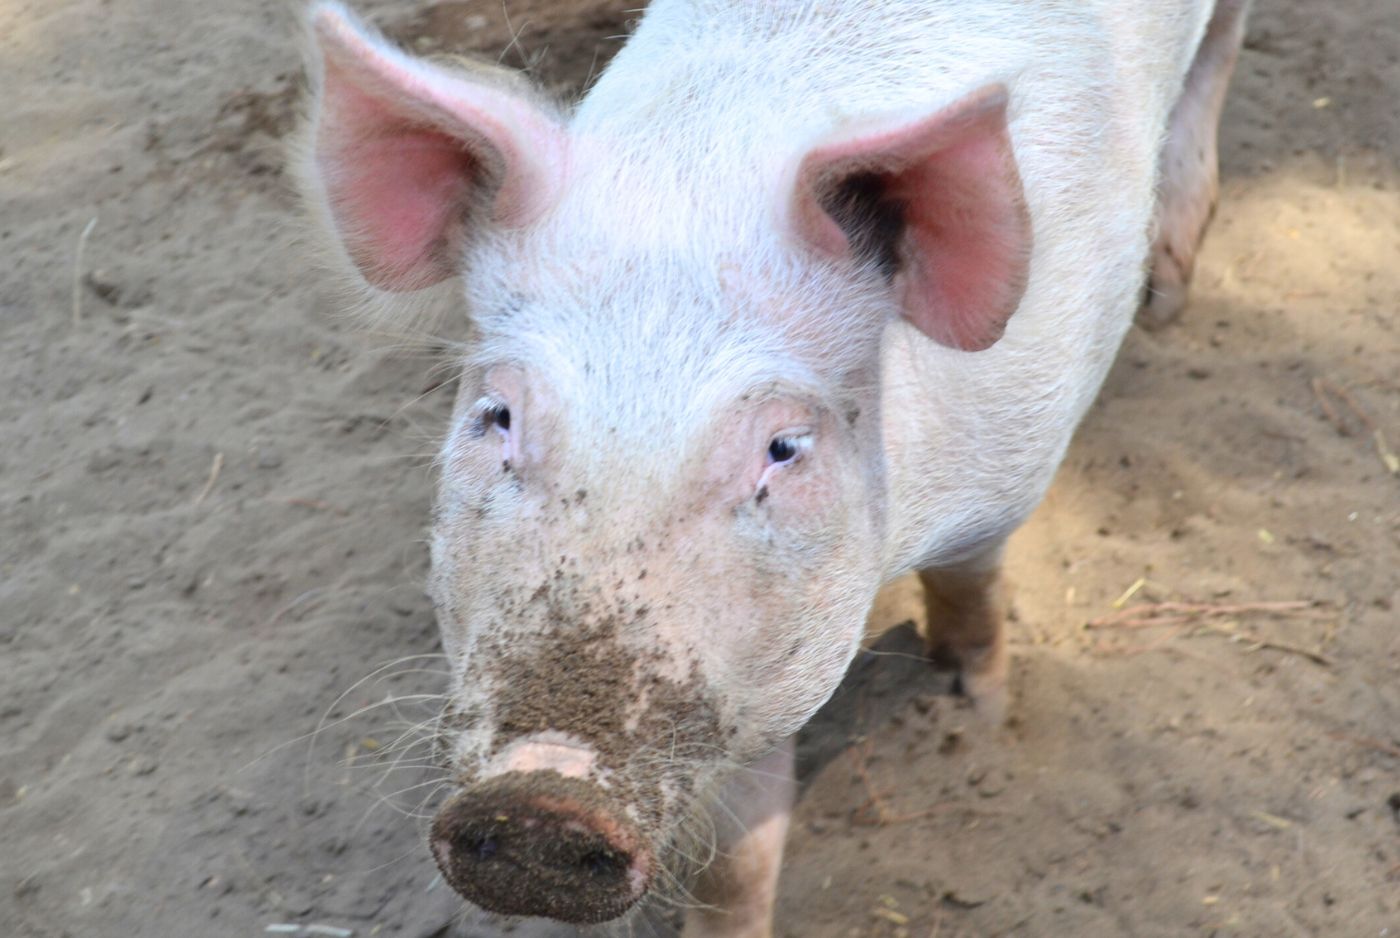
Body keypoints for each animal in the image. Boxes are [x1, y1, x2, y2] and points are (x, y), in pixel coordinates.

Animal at [295, 0, 1248, 935]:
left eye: (782, 449)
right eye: (498, 418)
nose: (542, 794)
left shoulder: (1015, 468)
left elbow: (970, 587)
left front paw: (974, 710)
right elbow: (736, 856)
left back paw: (1169, 291)